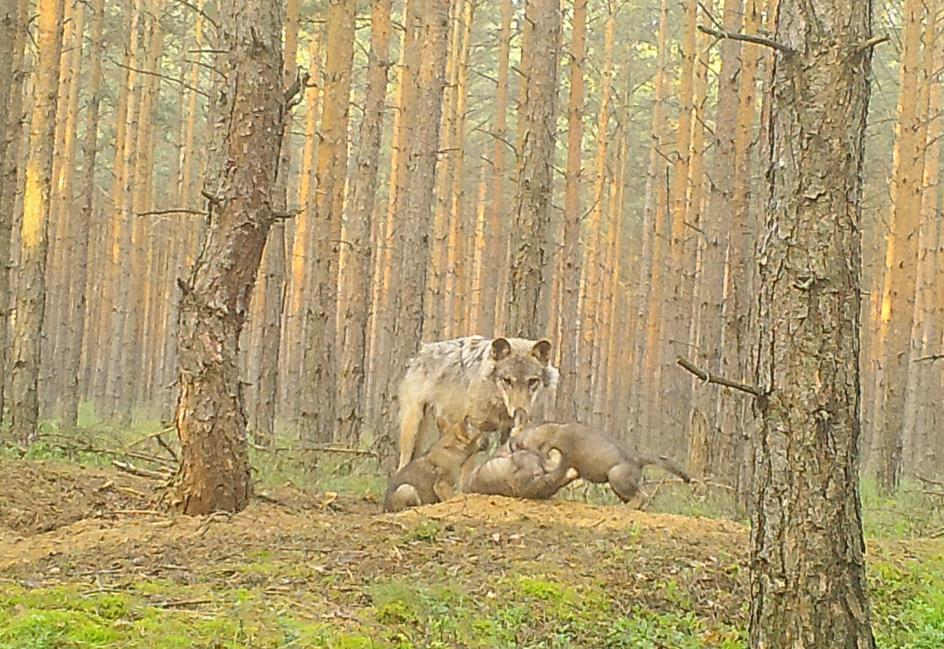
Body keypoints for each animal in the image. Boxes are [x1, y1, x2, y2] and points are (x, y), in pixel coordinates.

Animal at [394, 334, 556, 470]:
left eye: (532, 381)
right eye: (507, 380)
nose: (520, 411)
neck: (497, 405)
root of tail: (421, 352)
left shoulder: (505, 431)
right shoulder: (476, 430)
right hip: (413, 427)